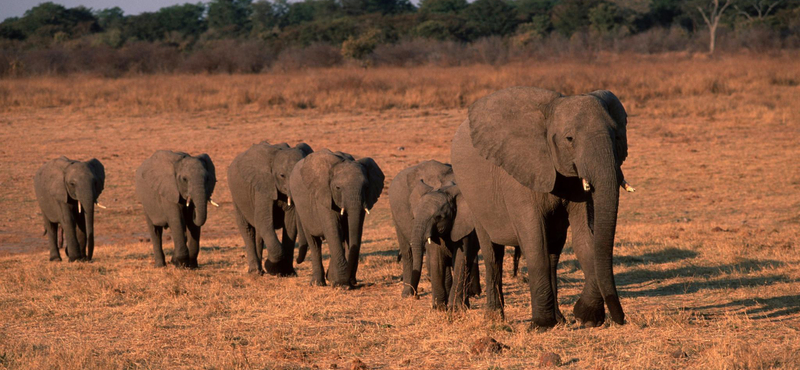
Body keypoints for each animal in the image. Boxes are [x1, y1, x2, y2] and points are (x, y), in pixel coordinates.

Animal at [228, 141, 312, 274]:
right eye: (282, 175)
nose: (298, 261)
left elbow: (290, 224)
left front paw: (287, 273)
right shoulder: (263, 185)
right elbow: (263, 219)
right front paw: (271, 267)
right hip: (236, 197)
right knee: (247, 228)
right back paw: (255, 272)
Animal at [290, 149, 384, 288]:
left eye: (367, 187)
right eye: (338, 188)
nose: (350, 281)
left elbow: (351, 232)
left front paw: (343, 281)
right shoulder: (324, 195)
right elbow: (333, 230)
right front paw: (341, 284)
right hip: (302, 210)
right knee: (314, 242)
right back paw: (318, 283)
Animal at [454, 87, 636, 330]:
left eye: (617, 137)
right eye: (569, 139)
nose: (621, 319)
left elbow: (584, 239)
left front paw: (586, 317)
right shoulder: (517, 175)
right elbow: (534, 240)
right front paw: (541, 325)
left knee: (553, 253)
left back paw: (559, 319)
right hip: (475, 200)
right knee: (492, 252)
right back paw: (494, 318)